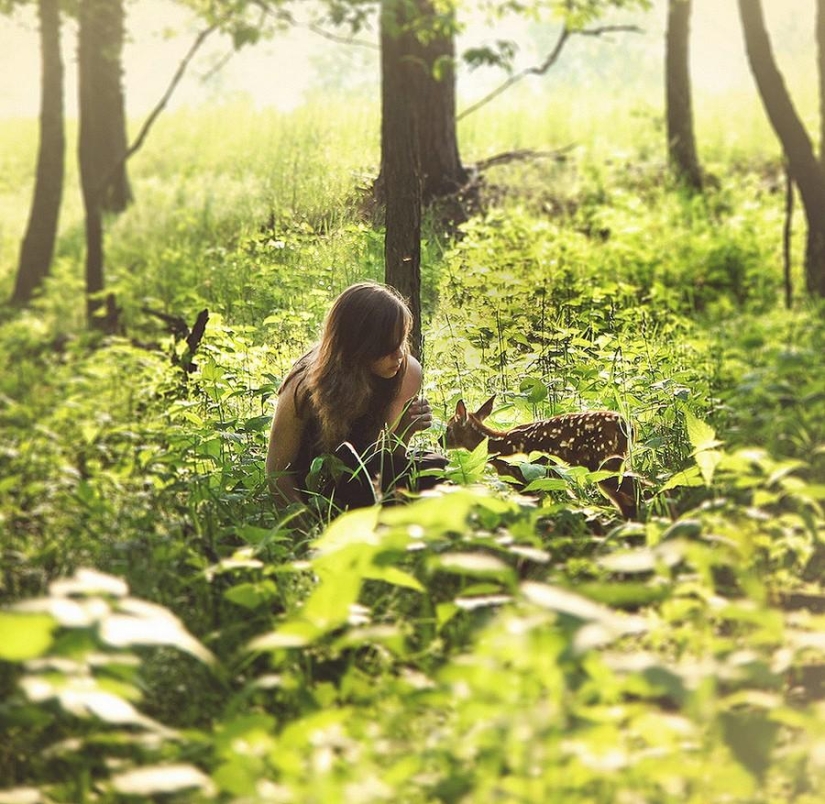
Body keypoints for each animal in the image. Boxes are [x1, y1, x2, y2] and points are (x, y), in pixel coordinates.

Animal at [444, 395, 638, 519]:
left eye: (448, 428)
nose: (440, 441)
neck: (498, 446)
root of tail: (627, 425)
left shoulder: (523, 480)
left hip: (605, 460)